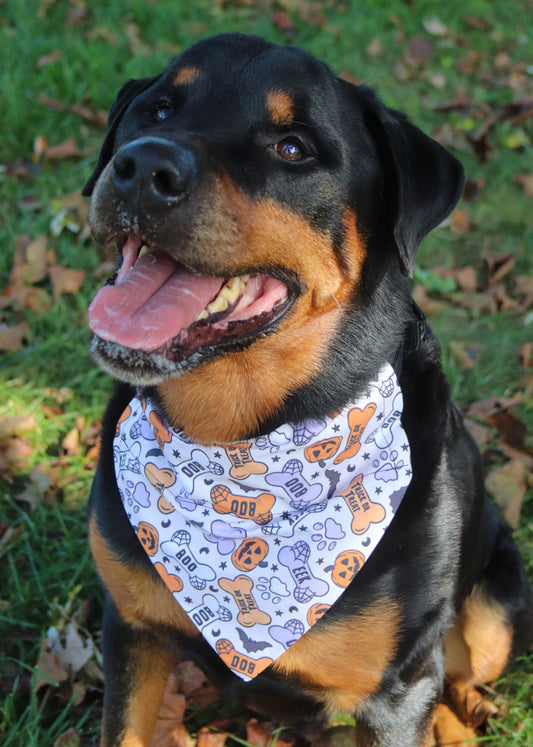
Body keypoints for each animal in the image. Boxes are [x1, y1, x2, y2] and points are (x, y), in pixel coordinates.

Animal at [81, 33, 528, 747]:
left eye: (293, 148)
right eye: (159, 109)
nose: (141, 166)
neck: (238, 444)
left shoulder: (398, 691)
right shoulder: (131, 629)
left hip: (493, 614)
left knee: (462, 678)